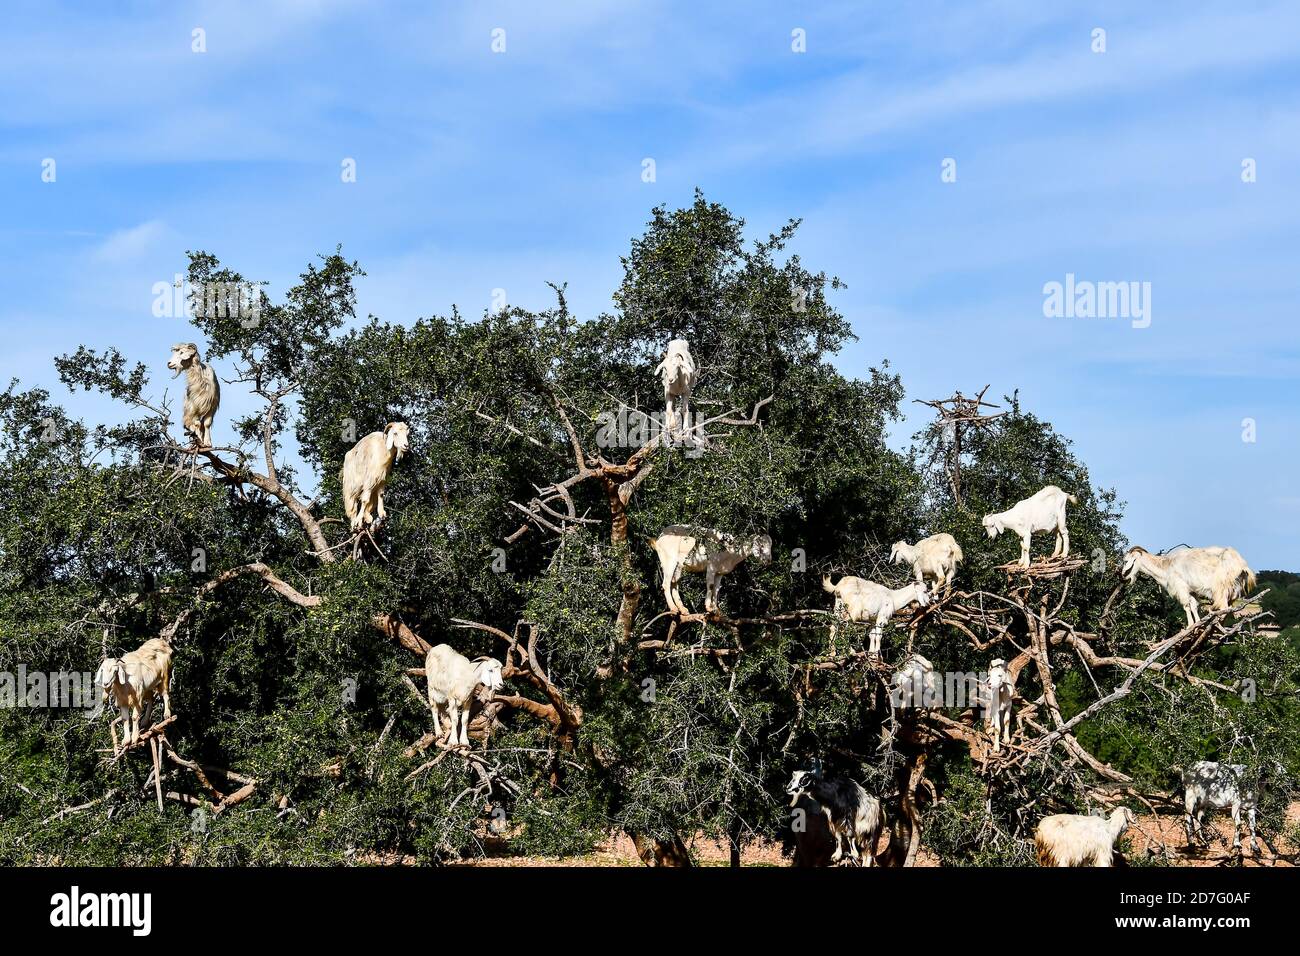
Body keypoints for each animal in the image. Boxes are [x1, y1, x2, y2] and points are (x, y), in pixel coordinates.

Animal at [1122, 546, 1256, 627]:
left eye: (1126, 561)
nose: (1124, 575)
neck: (1166, 566)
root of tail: (1241, 565)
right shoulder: (1192, 591)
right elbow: (1194, 606)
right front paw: (1197, 624)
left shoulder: (1181, 587)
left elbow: (1186, 606)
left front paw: (1190, 625)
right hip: (1233, 590)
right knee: (1229, 608)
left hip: (1220, 589)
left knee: (1224, 607)